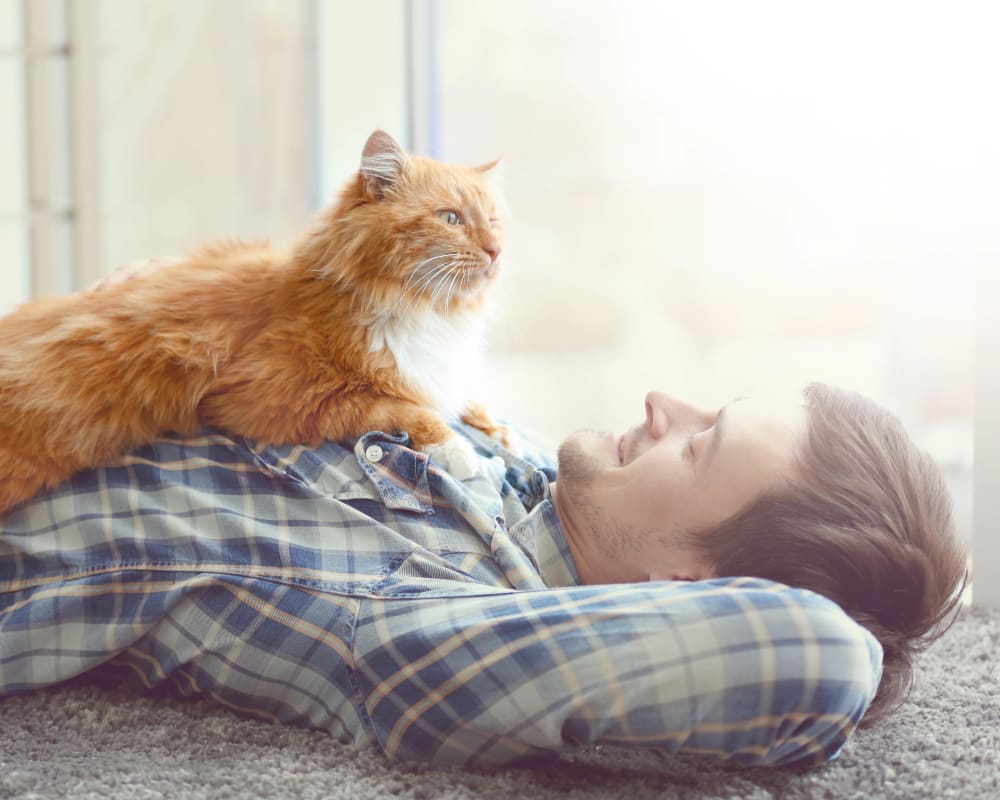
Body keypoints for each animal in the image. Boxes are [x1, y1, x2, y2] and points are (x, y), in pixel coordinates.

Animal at [0, 128, 508, 516]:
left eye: (494, 221)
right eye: (451, 218)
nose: (496, 250)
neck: (426, 312)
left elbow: (453, 395)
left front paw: (495, 429)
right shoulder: (275, 398)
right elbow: (403, 407)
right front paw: (459, 450)